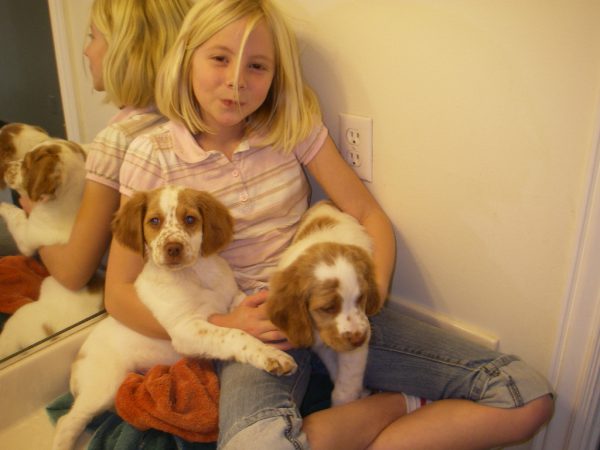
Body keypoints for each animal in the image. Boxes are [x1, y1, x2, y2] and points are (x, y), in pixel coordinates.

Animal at [51, 185, 298, 450]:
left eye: (189, 219)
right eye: (154, 221)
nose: (173, 248)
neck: (194, 274)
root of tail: (78, 361)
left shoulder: (232, 298)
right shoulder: (186, 329)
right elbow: (235, 333)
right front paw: (272, 355)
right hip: (104, 386)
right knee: (67, 421)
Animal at [268, 202, 382, 406]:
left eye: (361, 297)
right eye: (328, 308)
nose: (359, 339)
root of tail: (324, 203)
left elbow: (347, 383)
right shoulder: (323, 341)